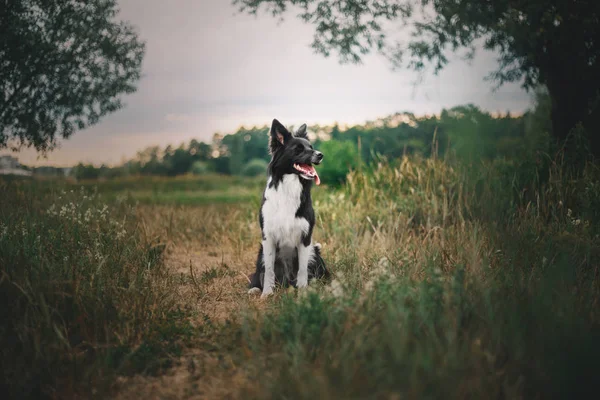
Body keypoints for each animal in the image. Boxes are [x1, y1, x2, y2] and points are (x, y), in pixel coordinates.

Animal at [250, 117, 332, 298]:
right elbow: (269, 271)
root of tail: (287, 280)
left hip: (314, 251)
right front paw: (267, 293)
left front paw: (303, 291)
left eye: (311, 147)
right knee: (260, 273)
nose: (320, 155)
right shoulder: (268, 237)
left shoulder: (306, 237)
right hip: (261, 252)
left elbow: (302, 270)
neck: (290, 186)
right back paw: (254, 288)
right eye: (298, 149)